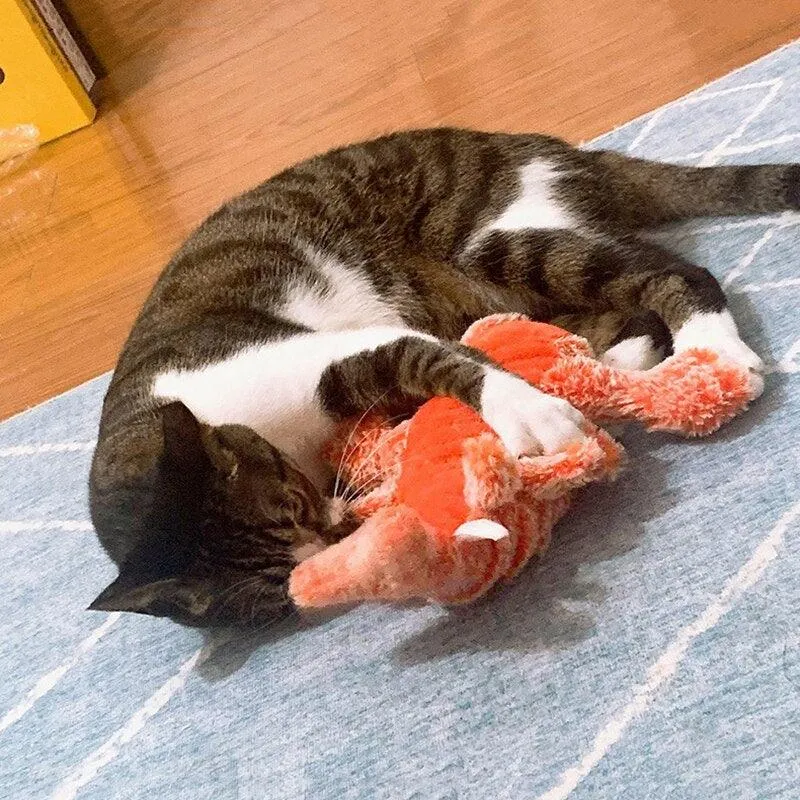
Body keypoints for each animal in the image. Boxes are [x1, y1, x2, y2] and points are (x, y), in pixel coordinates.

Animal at [87, 126, 800, 624]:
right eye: (276, 590)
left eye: (292, 504)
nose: (337, 534)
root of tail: (562, 150)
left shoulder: (307, 354)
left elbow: (433, 360)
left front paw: (532, 414)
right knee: (612, 316)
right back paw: (606, 363)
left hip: (489, 240)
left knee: (670, 273)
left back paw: (708, 348)